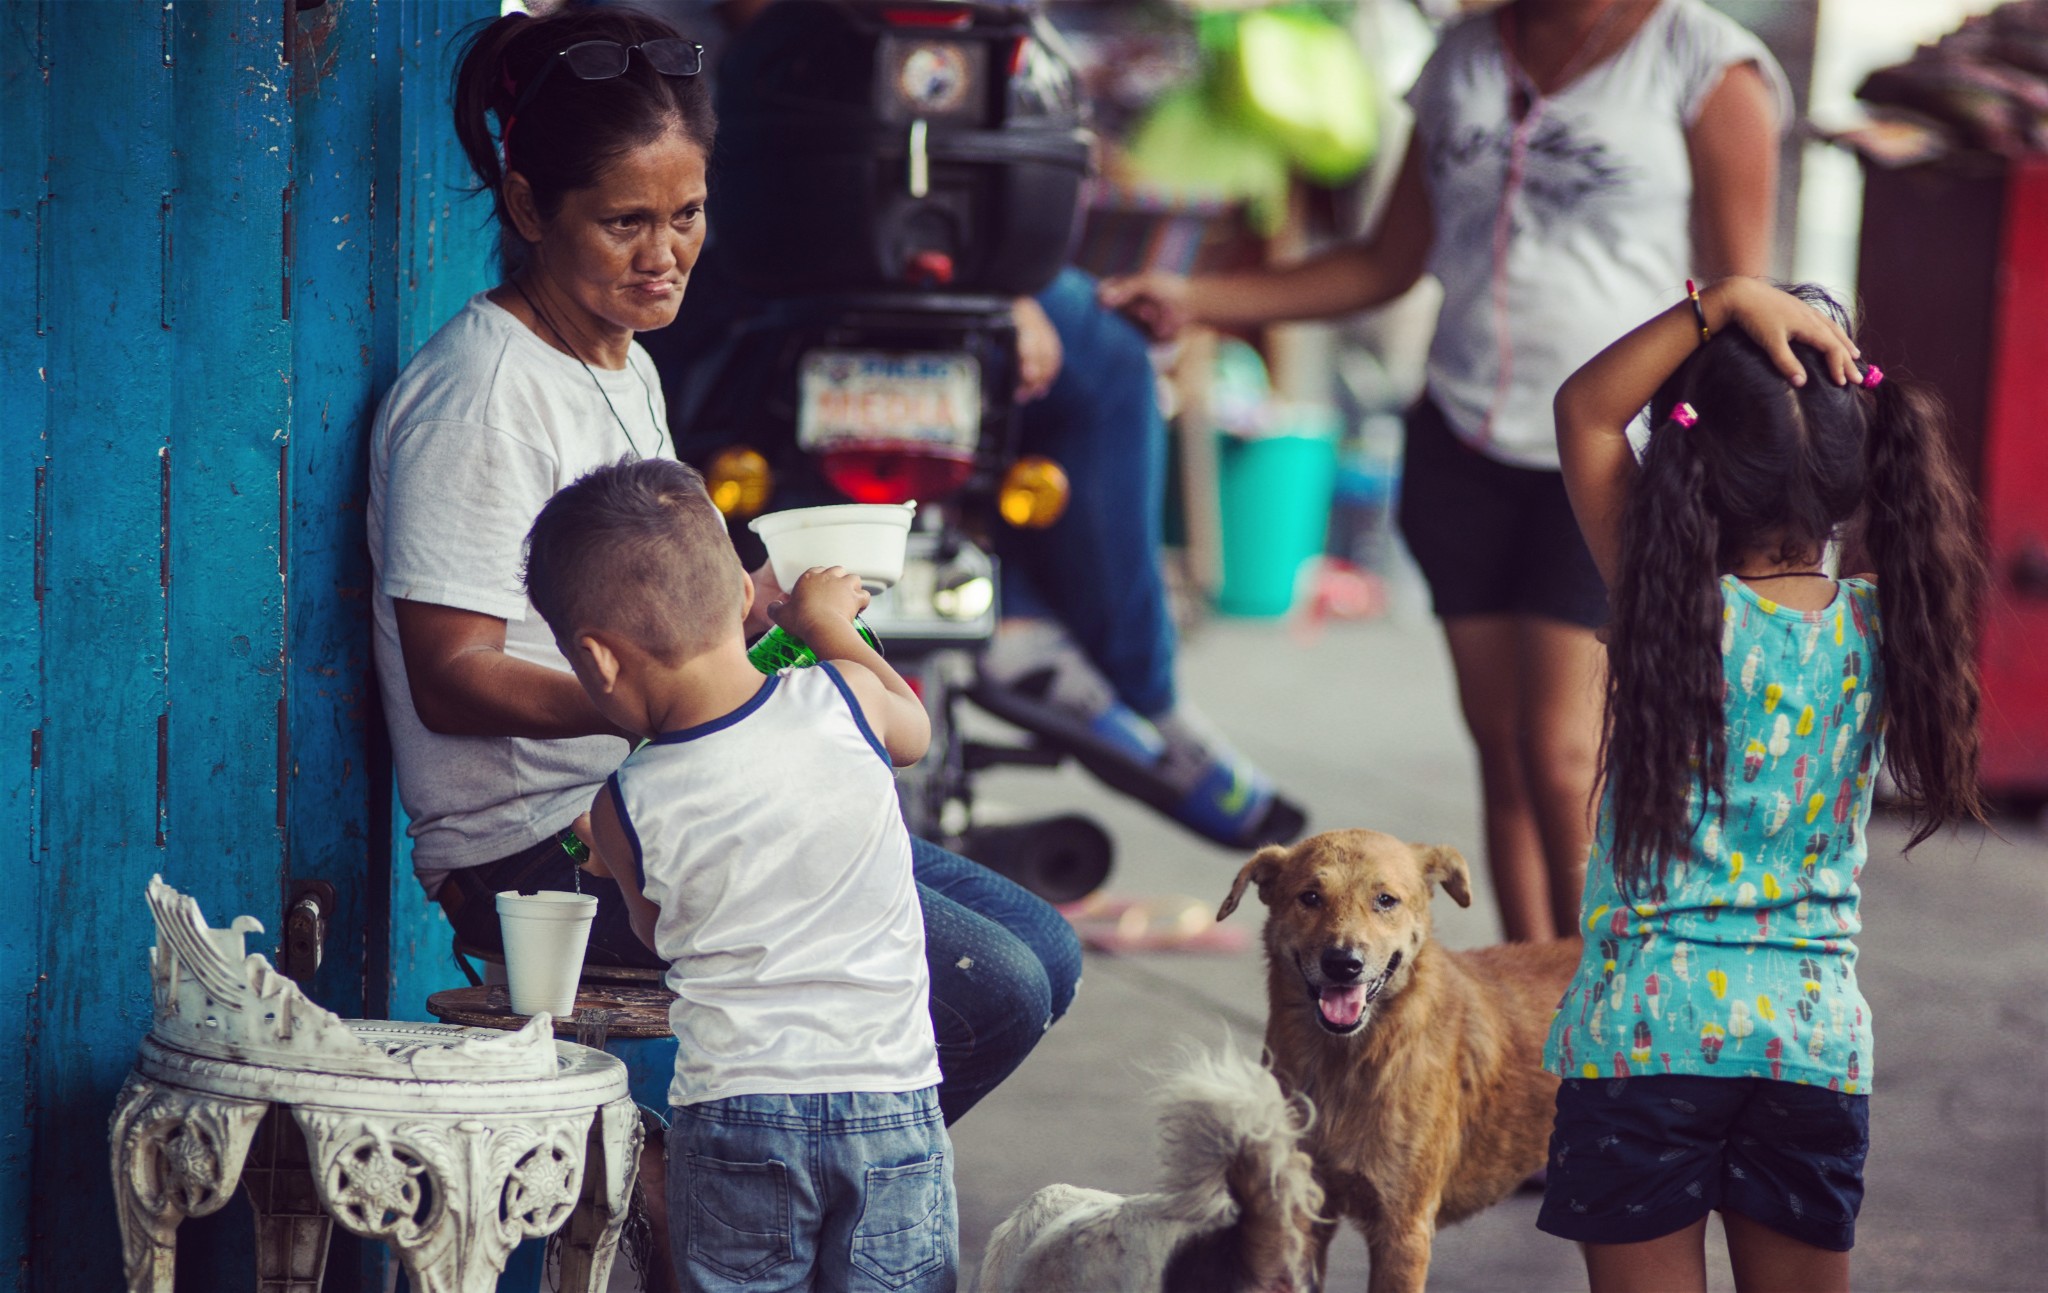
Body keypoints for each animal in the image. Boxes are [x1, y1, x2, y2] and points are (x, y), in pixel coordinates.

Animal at [1212, 836, 1581, 1286]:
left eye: (1386, 900)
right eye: (1310, 897)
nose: (1343, 964)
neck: (1347, 1066)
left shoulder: (1403, 1231)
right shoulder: (1302, 1216)